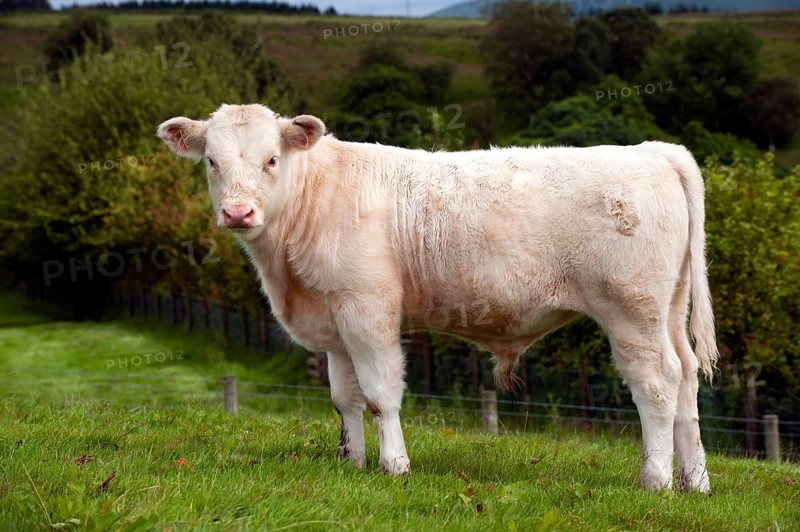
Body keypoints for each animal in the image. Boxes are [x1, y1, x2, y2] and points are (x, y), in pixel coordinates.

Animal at [158, 103, 719, 493]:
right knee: (687, 380)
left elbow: (381, 394)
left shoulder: (367, 311)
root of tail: (650, 150)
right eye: (212, 162)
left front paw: (394, 466)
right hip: (669, 310)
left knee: (657, 386)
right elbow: (345, 399)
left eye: (271, 159)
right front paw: (350, 462)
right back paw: (695, 481)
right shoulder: (334, 323)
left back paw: (656, 480)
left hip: (632, 312)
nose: (237, 213)